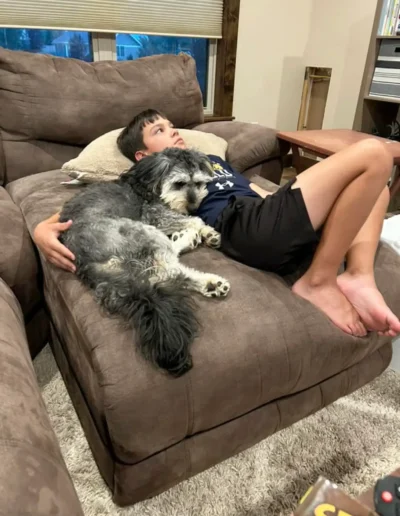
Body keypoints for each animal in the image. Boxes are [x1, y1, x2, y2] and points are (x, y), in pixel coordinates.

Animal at [57, 147, 230, 376]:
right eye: (179, 184)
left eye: (199, 183)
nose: (193, 205)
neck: (150, 184)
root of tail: (86, 261)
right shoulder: (156, 216)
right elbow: (195, 220)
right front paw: (208, 231)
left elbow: (191, 219)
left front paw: (205, 231)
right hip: (142, 231)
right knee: (170, 271)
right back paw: (203, 268)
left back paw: (207, 279)